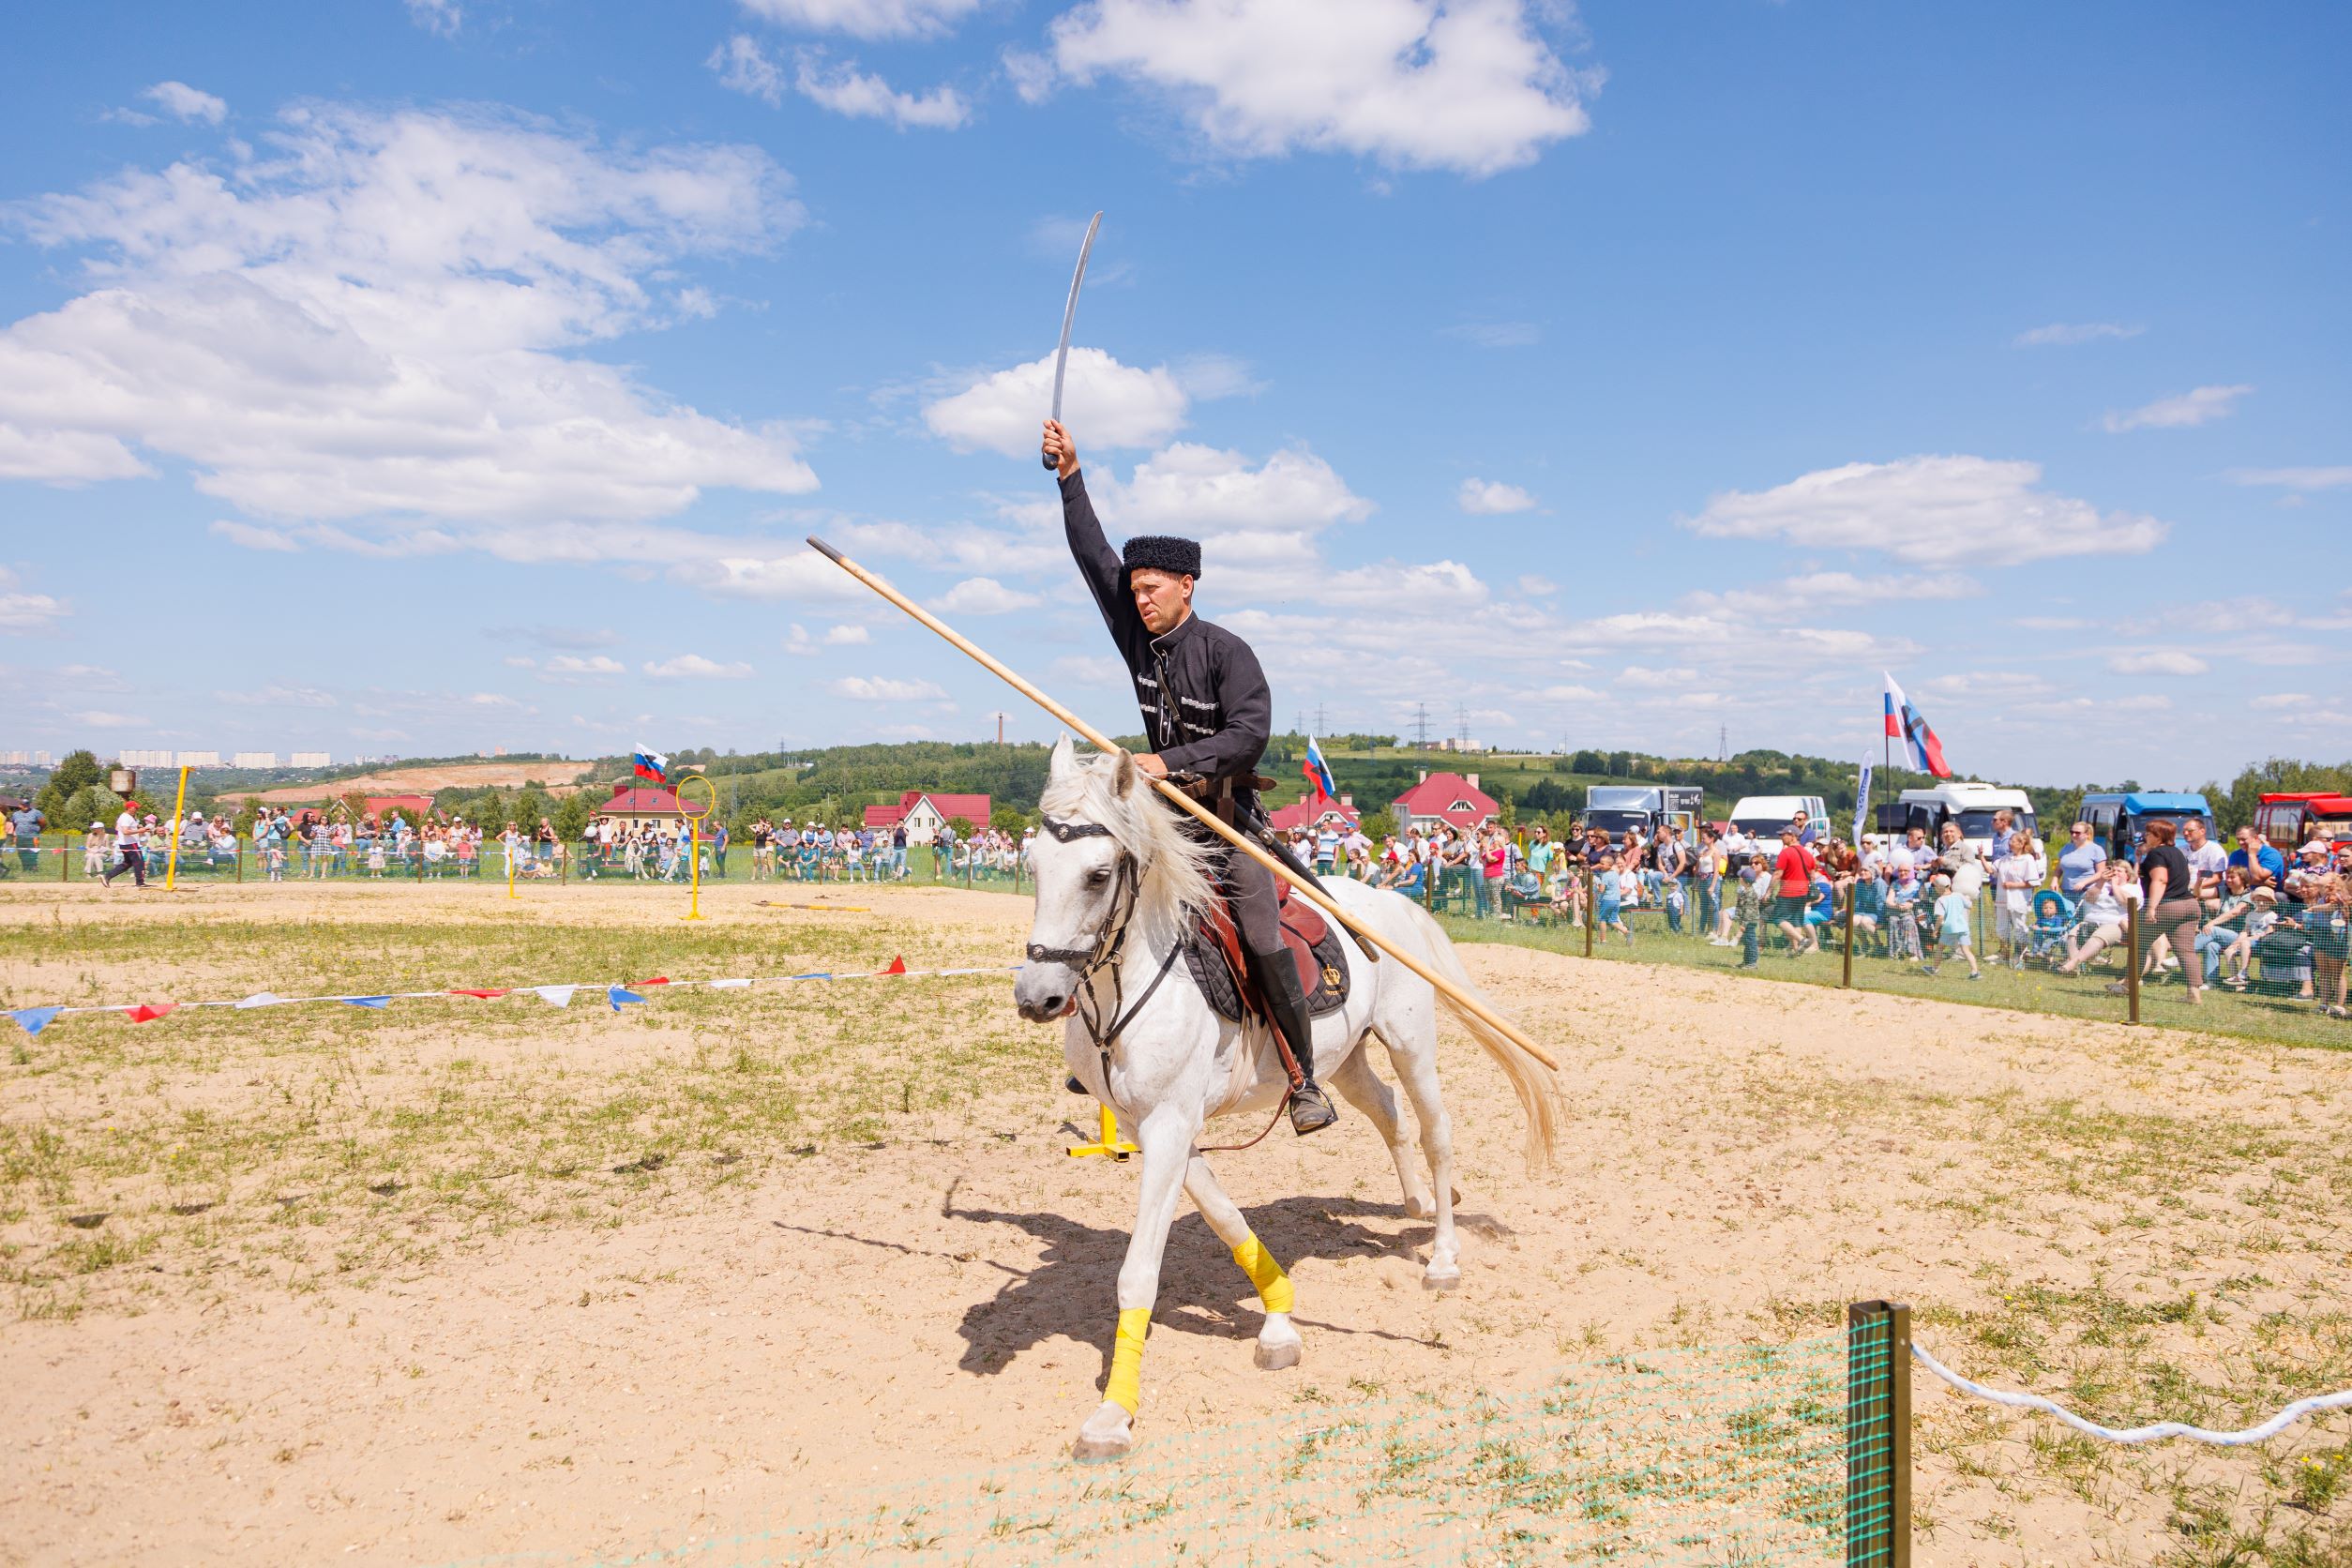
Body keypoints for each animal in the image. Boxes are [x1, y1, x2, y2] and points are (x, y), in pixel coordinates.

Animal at [1006, 743, 1561, 1467]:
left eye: (1099, 875)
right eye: (1034, 867)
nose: (1038, 996)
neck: (1142, 978)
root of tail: (1392, 901)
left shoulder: (1169, 1126)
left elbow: (1139, 1273)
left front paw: (1112, 1415)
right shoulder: (1152, 1127)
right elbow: (1226, 1220)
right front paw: (1278, 1320)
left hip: (1412, 1042)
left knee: (1436, 1131)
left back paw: (1442, 1255)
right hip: (1344, 1059)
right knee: (1387, 1112)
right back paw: (1409, 1199)